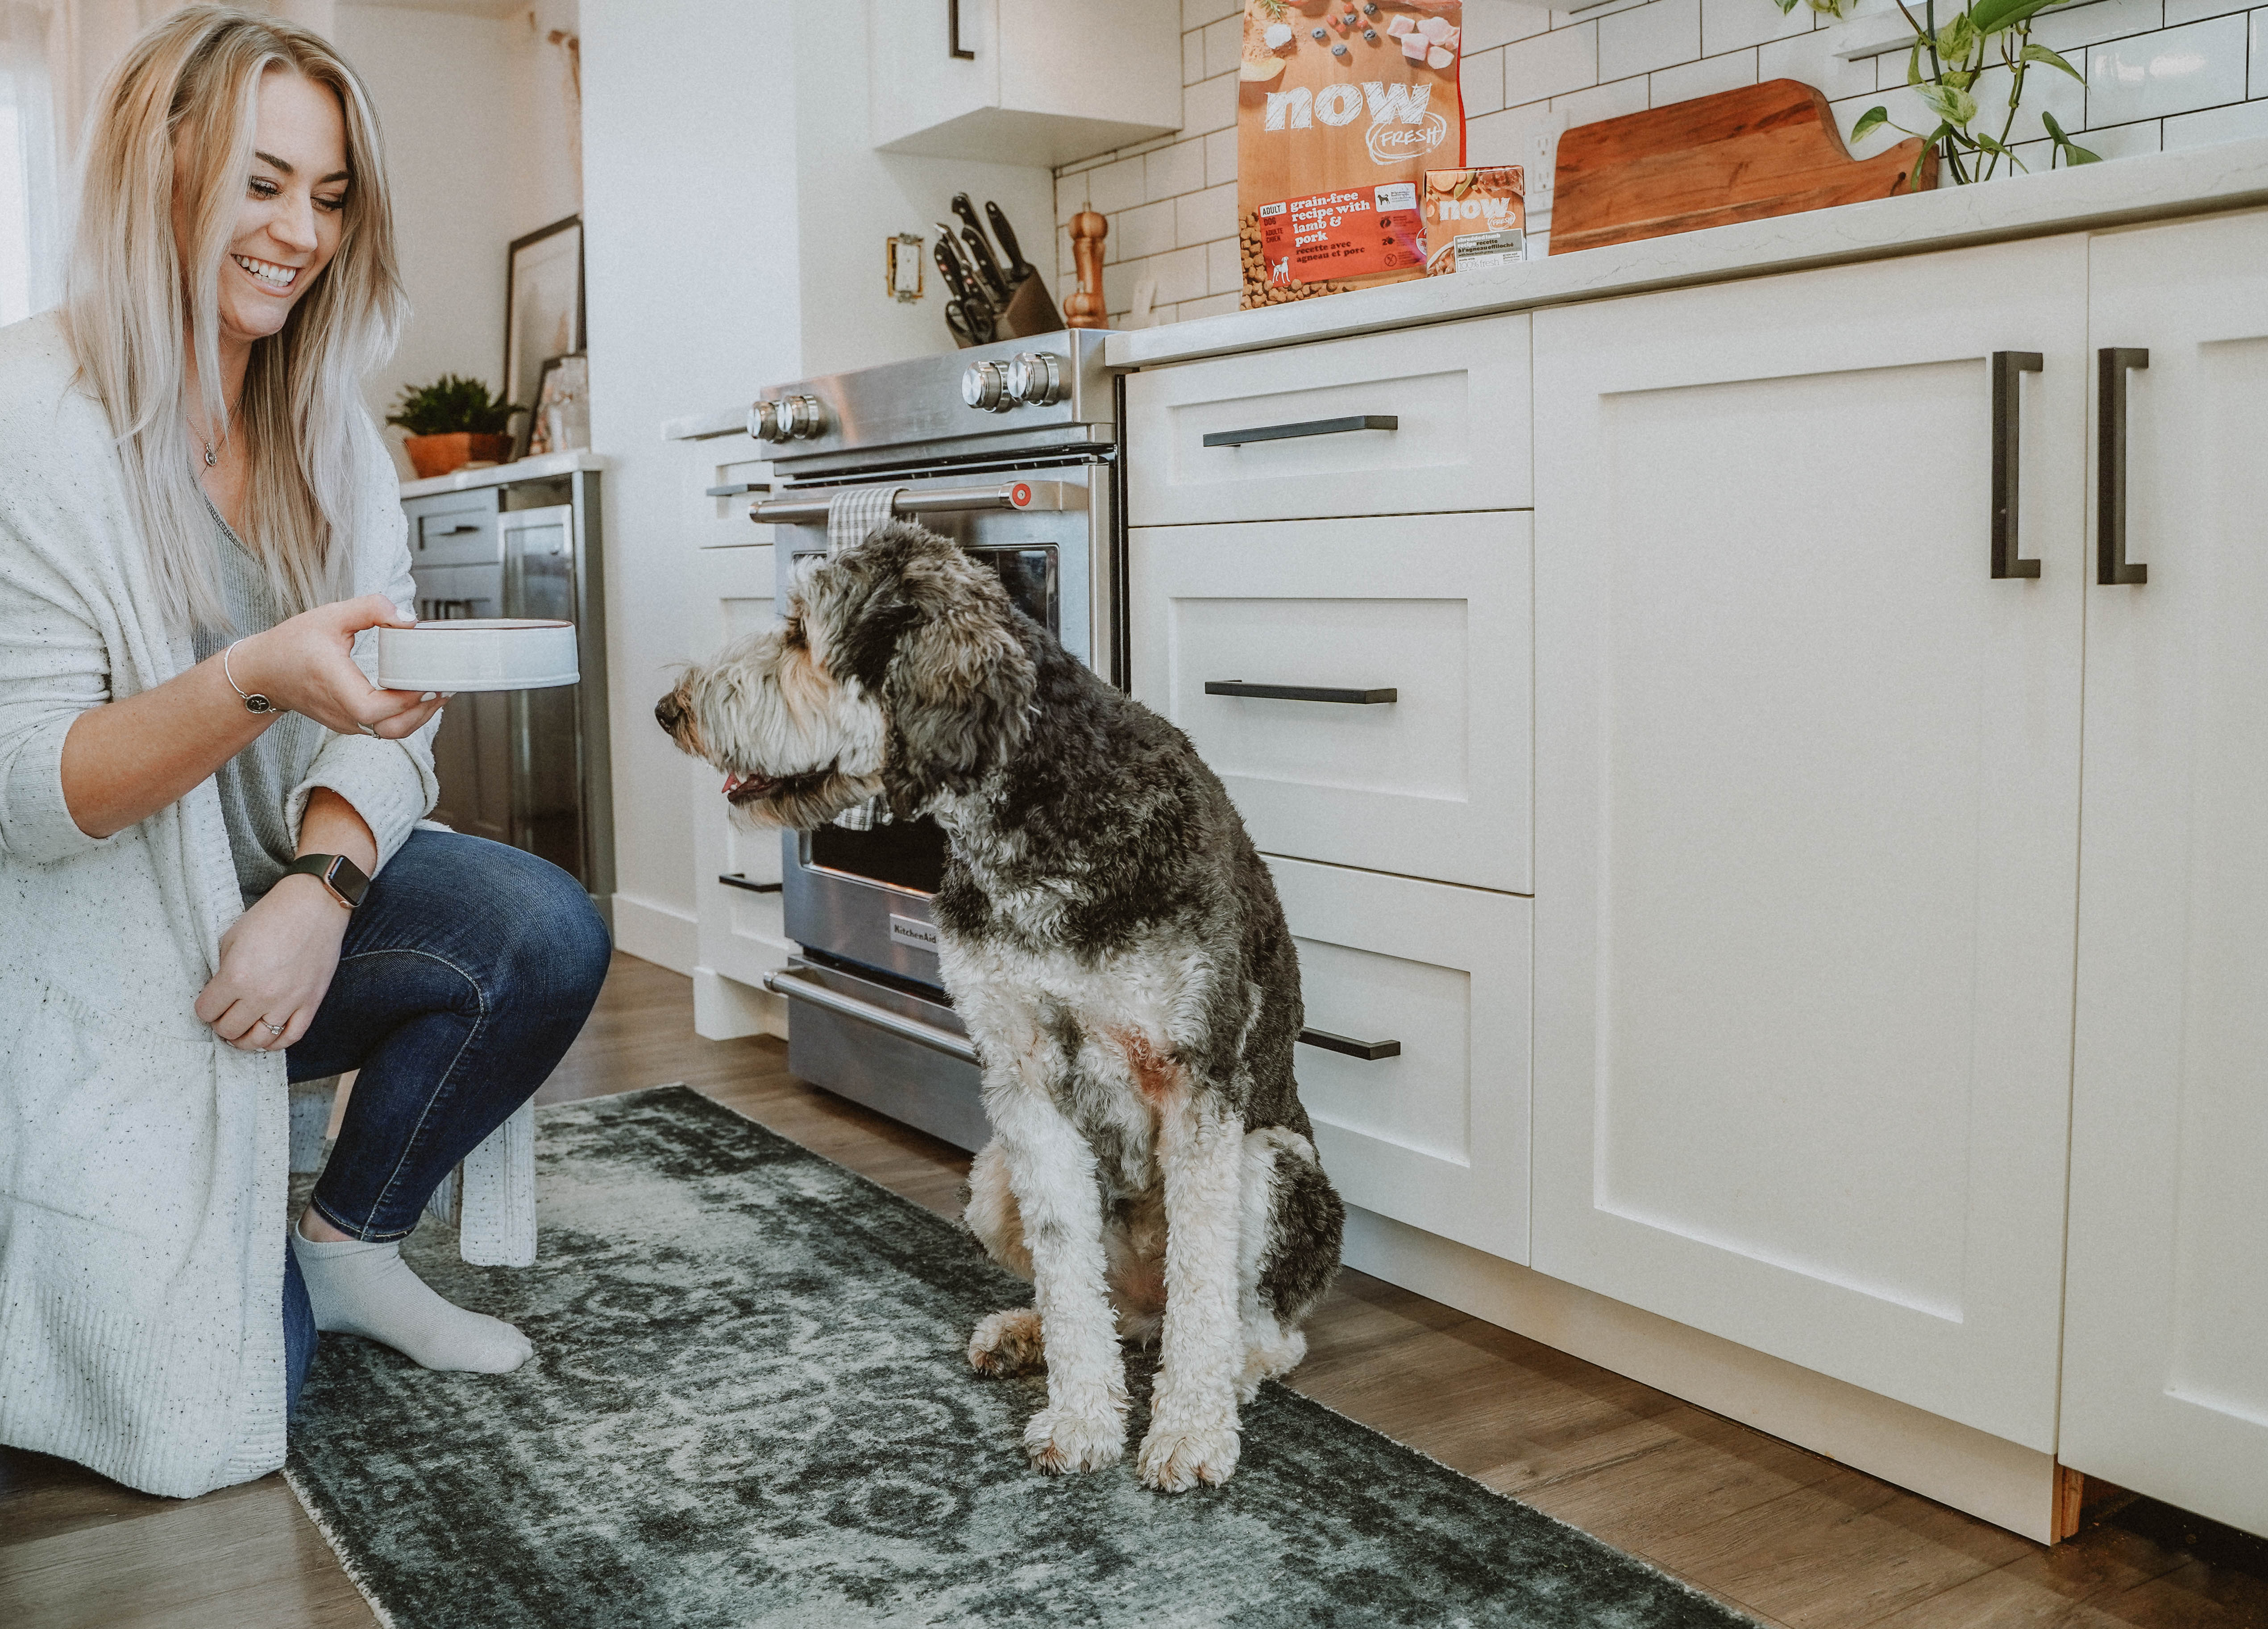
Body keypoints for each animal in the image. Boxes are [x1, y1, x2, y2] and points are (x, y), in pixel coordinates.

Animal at [648, 524, 1333, 1497]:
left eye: (797, 633)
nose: (666, 711)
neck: (1037, 816)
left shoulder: (1194, 1081)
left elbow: (1202, 1284)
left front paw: (1190, 1433)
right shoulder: (1025, 1080)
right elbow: (1067, 1266)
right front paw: (1082, 1420)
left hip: (1271, 1161)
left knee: (1260, 1329)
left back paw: (1229, 1371)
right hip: (989, 1177)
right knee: (1110, 1307)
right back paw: (1026, 1334)